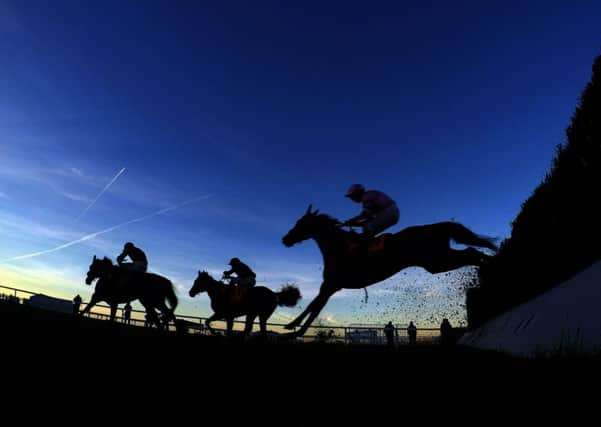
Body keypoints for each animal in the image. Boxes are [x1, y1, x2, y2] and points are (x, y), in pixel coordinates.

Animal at [282, 206, 496, 340]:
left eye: (302, 223)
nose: (286, 239)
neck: (339, 249)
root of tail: (436, 227)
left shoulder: (331, 285)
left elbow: (314, 308)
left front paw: (295, 331)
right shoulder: (329, 286)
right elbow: (313, 306)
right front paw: (292, 326)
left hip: (436, 261)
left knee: (471, 252)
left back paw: (489, 265)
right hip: (437, 261)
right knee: (471, 252)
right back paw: (489, 265)